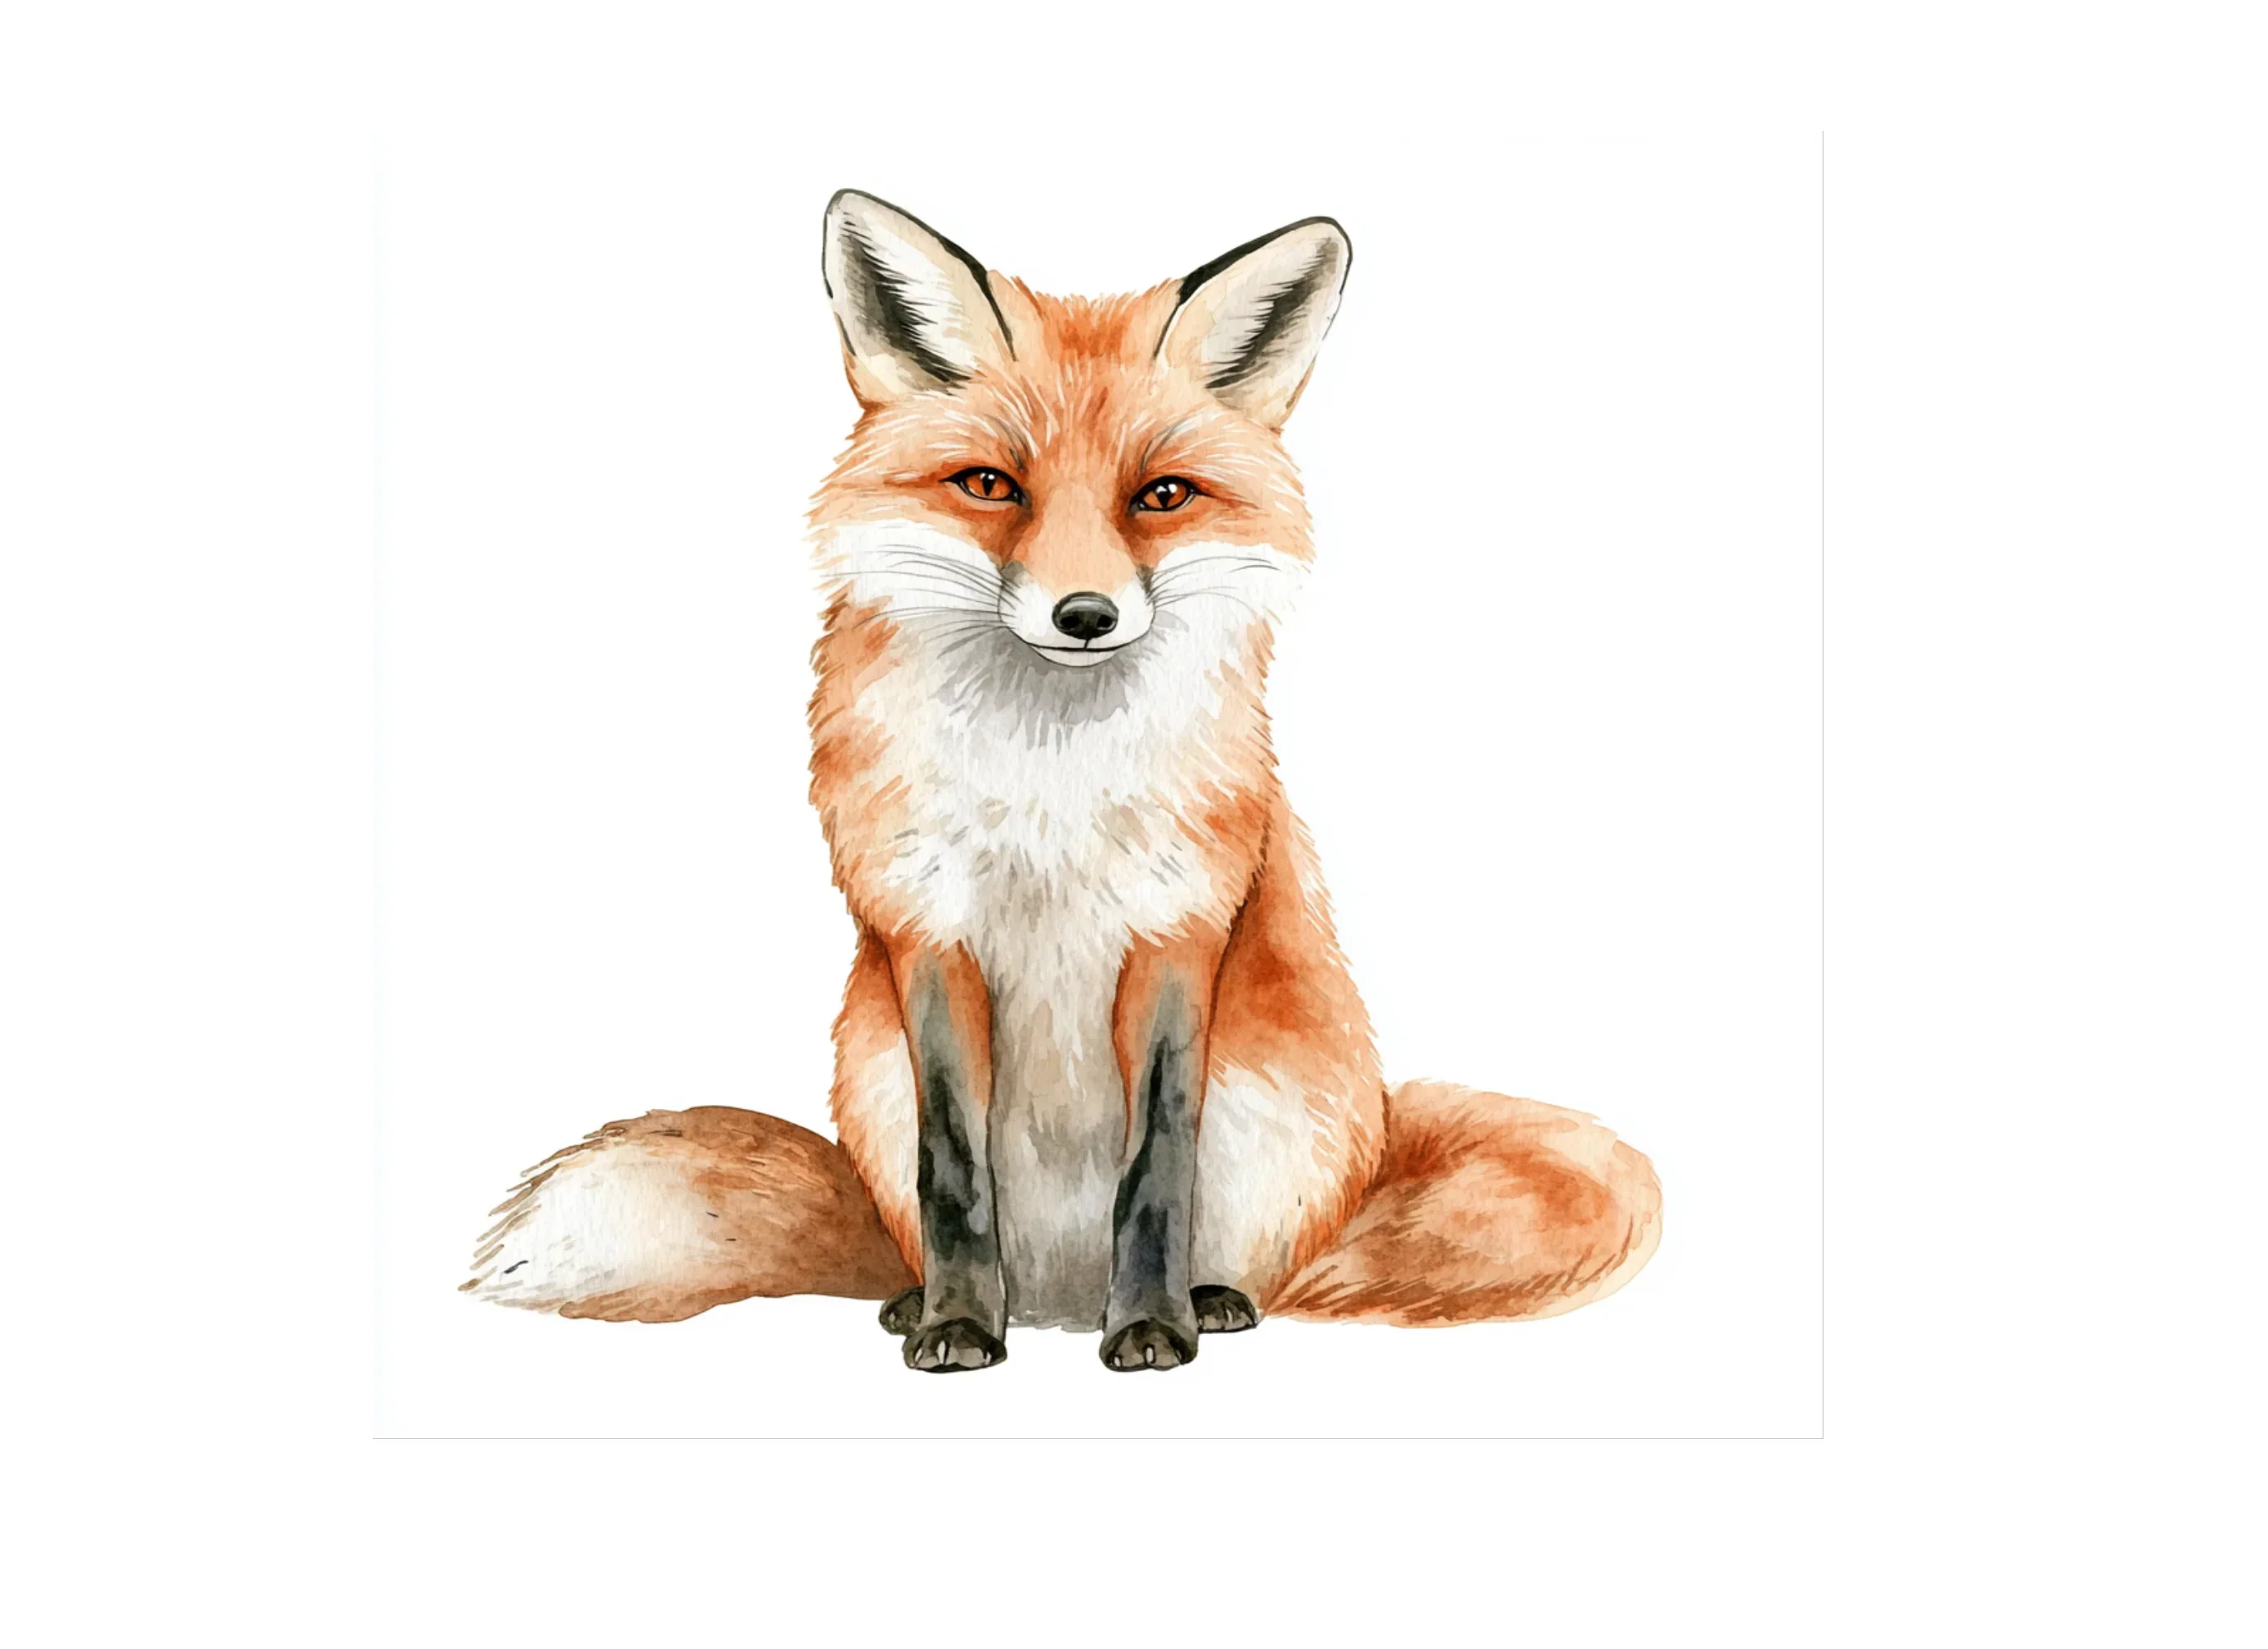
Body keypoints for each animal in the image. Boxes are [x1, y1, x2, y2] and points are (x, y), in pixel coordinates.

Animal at [464, 190, 1662, 1371]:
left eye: (1162, 494)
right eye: (991, 485)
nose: (1083, 615)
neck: (1048, 781)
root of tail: (1054, 1297)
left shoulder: (1176, 930)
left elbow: (1156, 1163)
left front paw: (1153, 1327)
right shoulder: (928, 934)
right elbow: (954, 1167)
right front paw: (954, 1323)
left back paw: (1207, 1300)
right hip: (872, 1077)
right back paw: (927, 1300)